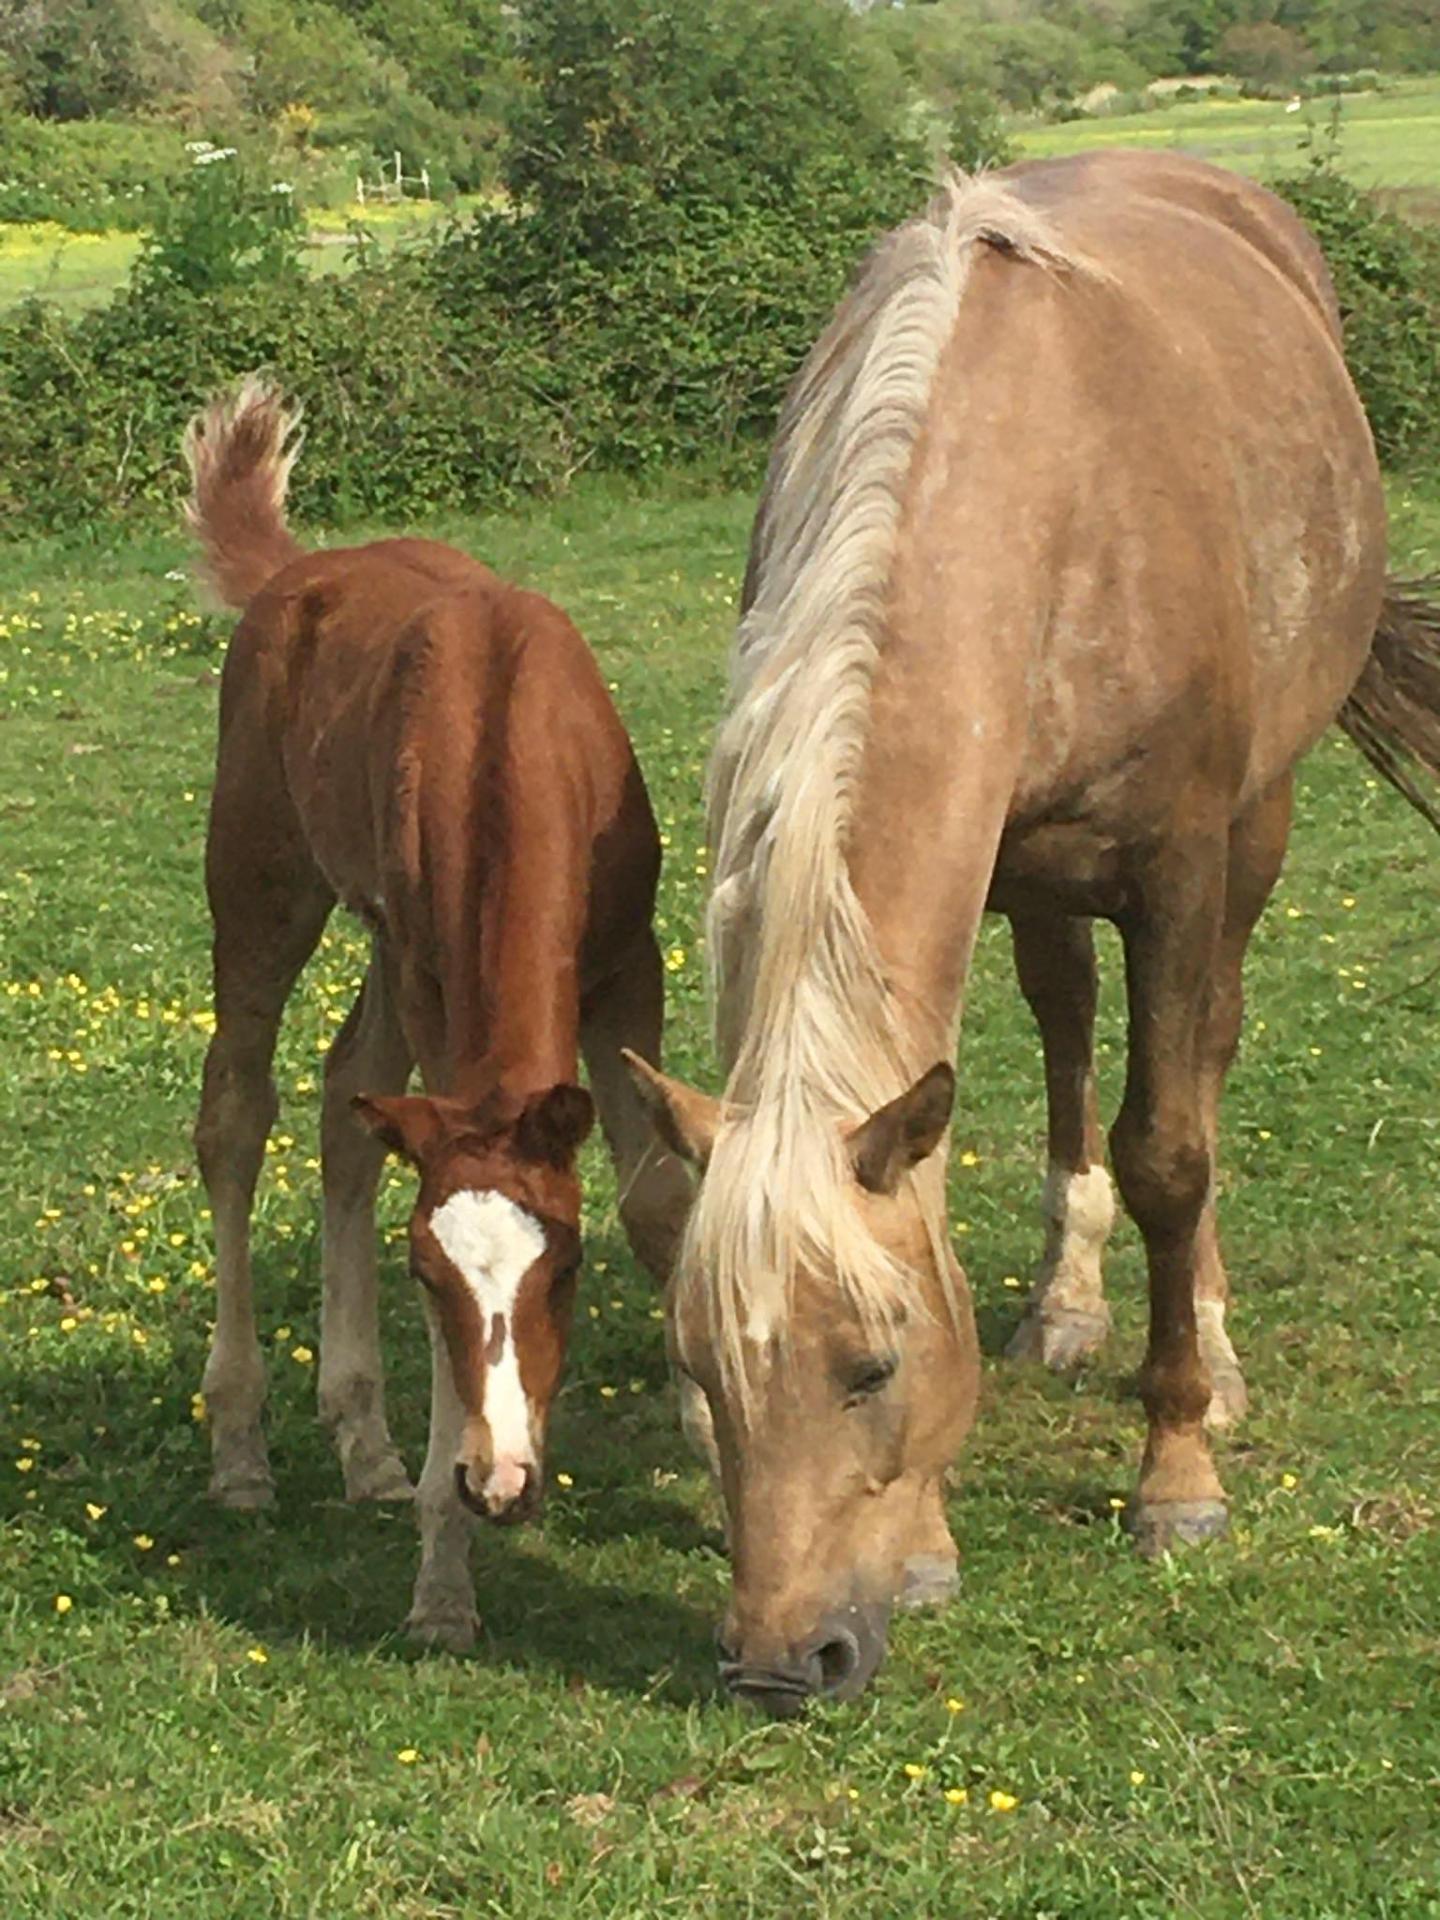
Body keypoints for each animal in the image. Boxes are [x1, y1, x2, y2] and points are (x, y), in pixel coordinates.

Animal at [184, 377, 690, 1650]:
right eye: (426, 1278)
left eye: (565, 1267)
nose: (500, 1483)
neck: (509, 734)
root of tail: (299, 573)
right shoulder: (429, 976)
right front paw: (443, 1575)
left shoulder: (628, 961)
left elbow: (660, 1199)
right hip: (263, 887)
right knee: (238, 1113)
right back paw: (244, 1447)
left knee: (340, 1099)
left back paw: (360, 1443)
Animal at [625, 150, 1440, 1716]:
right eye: (700, 1372)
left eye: (873, 1367)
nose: (782, 1664)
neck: (1038, 493)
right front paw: (935, 1542)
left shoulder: (1180, 867)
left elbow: (1171, 1150)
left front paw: (1176, 1476)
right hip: (1048, 886)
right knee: (1069, 1027)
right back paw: (1066, 1306)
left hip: (1251, 838)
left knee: (1203, 1063)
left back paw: (1213, 1350)